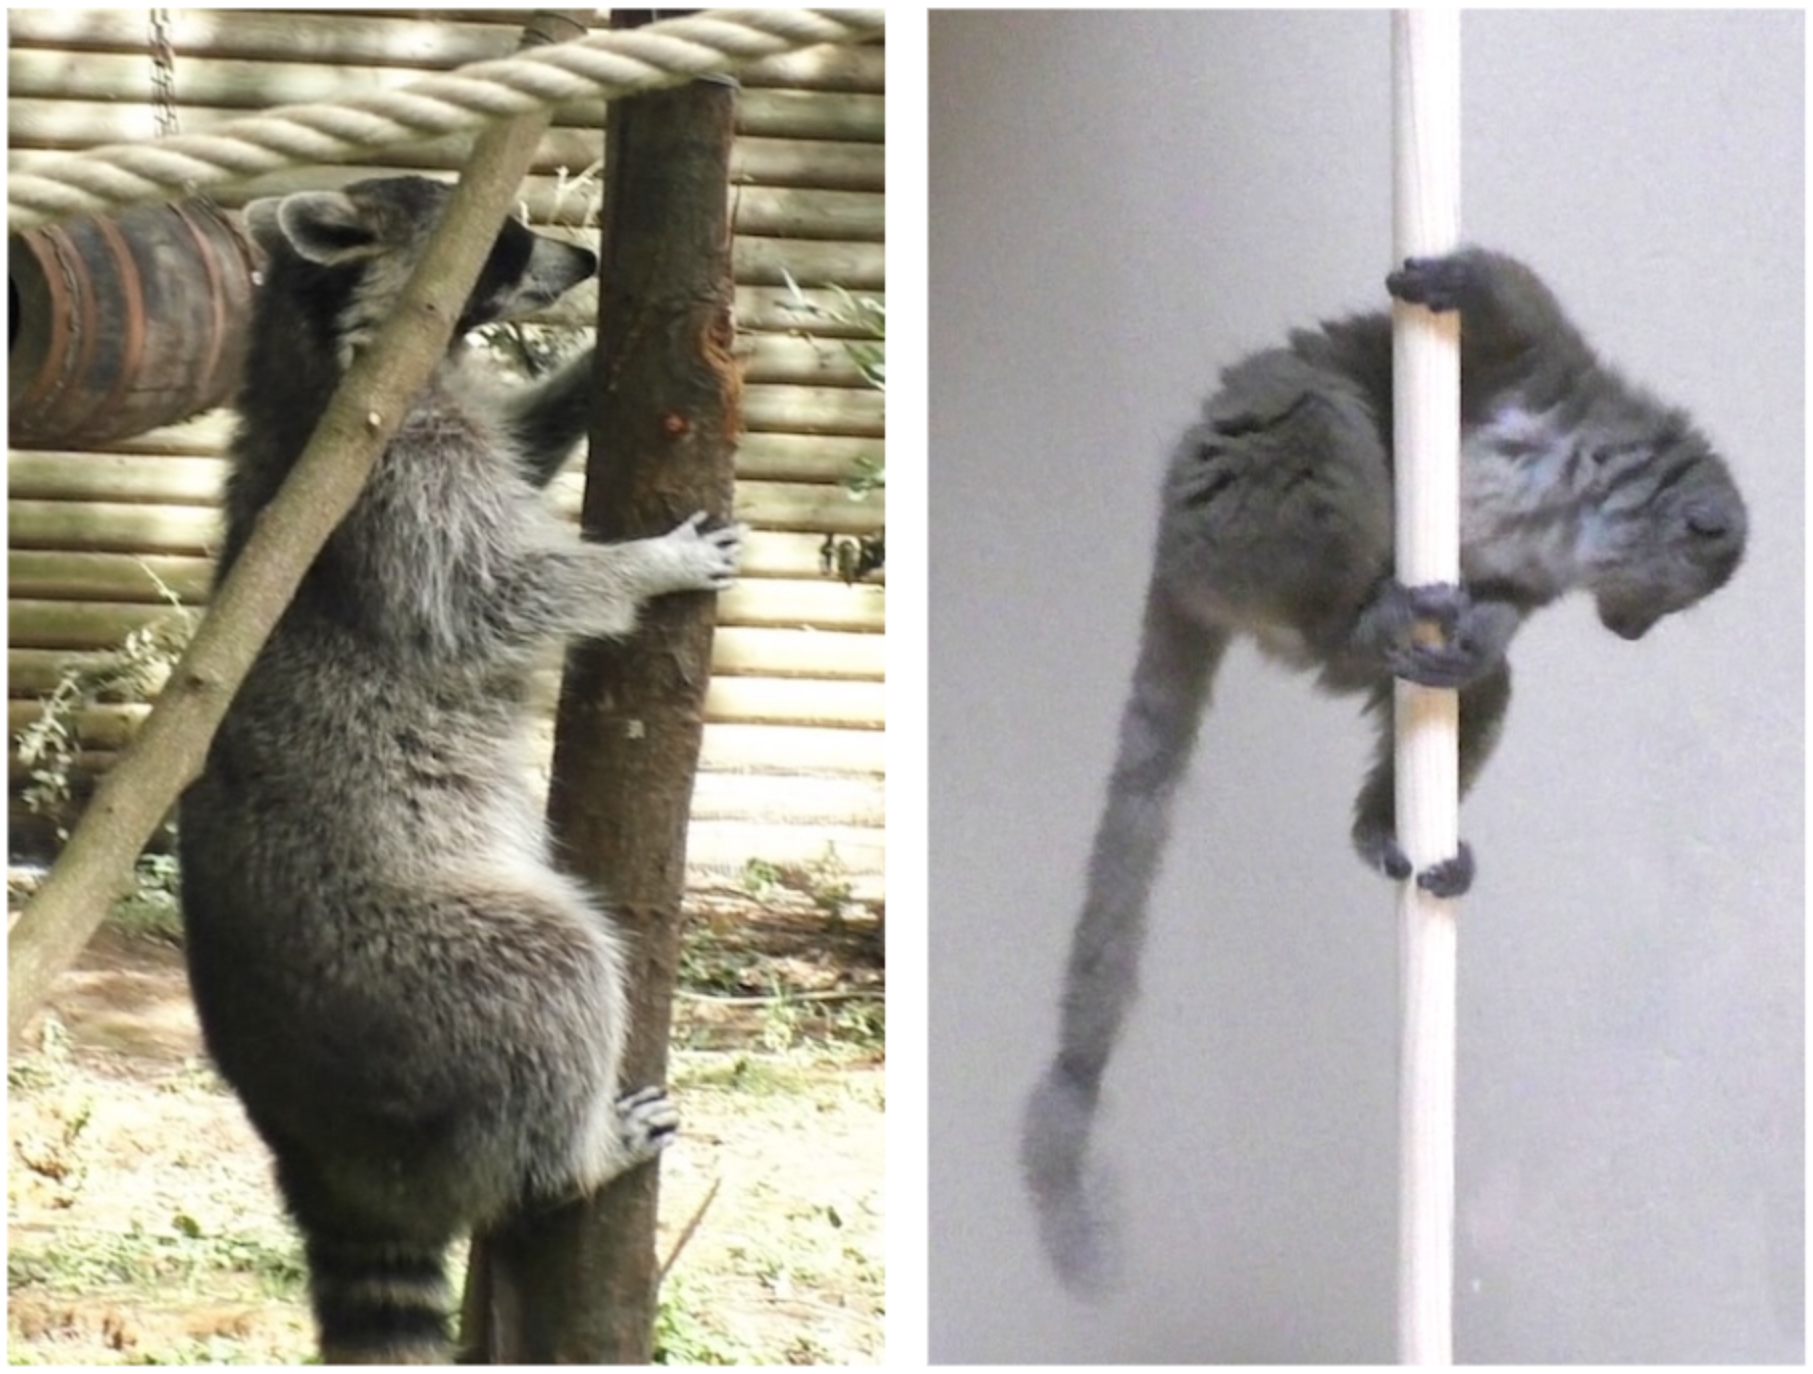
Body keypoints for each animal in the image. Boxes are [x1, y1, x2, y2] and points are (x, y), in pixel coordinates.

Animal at [178, 175, 742, 1362]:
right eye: (507, 241)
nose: (582, 261)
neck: (319, 355)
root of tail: (308, 1145)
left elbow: (520, 439)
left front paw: (581, 377)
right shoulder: (392, 486)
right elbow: (494, 592)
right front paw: (644, 564)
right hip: (413, 973)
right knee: (552, 972)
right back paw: (573, 1157)